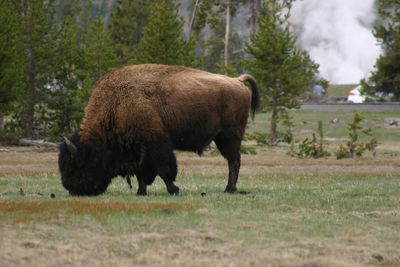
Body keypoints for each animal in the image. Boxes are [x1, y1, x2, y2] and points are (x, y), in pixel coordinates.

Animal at [58, 63, 260, 196]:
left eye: (76, 165)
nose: (72, 190)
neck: (116, 104)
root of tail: (236, 80)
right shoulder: (137, 148)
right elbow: (141, 172)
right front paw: (141, 192)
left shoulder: (155, 143)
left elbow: (164, 169)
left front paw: (174, 190)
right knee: (234, 160)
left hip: (228, 136)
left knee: (233, 161)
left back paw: (229, 189)